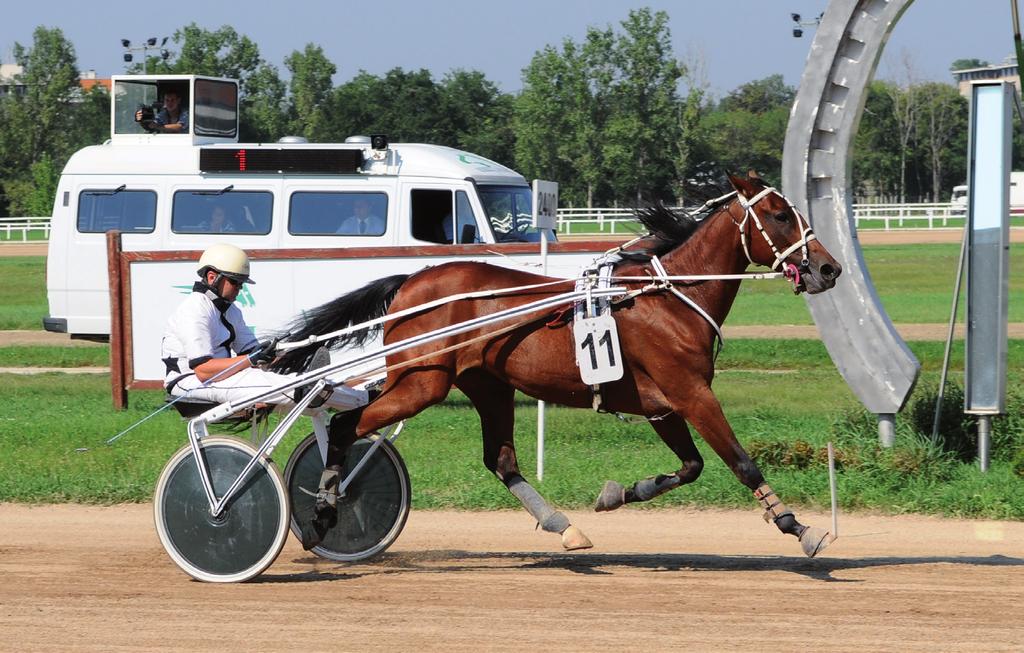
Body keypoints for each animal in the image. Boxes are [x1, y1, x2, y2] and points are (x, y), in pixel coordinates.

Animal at [272, 172, 839, 556]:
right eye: (781, 215)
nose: (829, 267)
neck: (669, 296)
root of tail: (411, 281)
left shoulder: (663, 404)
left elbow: (691, 466)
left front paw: (617, 494)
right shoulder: (691, 393)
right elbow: (741, 462)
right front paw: (799, 527)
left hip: (487, 385)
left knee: (500, 461)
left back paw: (564, 526)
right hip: (421, 383)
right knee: (345, 424)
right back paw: (324, 513)